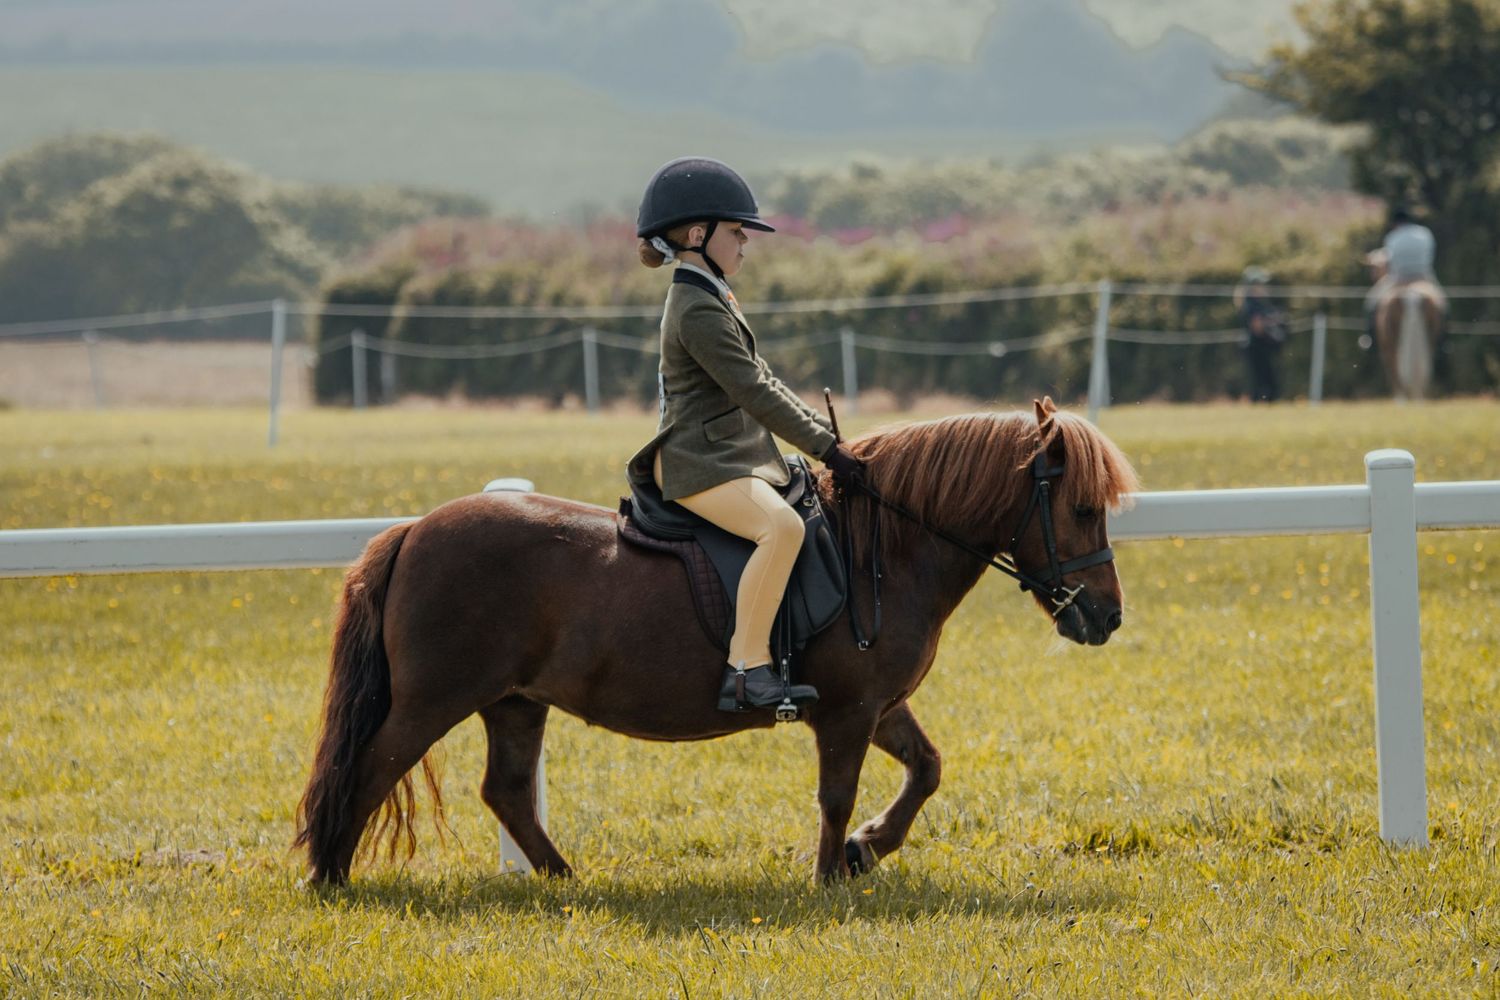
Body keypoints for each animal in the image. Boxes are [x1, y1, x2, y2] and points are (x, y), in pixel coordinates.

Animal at [294, 397, 1139, 885]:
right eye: (1083, 508)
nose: (1106, 618)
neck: (885, 546)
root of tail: (413, 530)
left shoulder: (879, 705)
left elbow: (926, 770)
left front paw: (866, 849)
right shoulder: (848, 712)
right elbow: (836, 794)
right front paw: (831, 875)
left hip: (514, 702)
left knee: (504, 792)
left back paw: (568, 882)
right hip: (434, 700)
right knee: (367, 770)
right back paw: (329, 878)